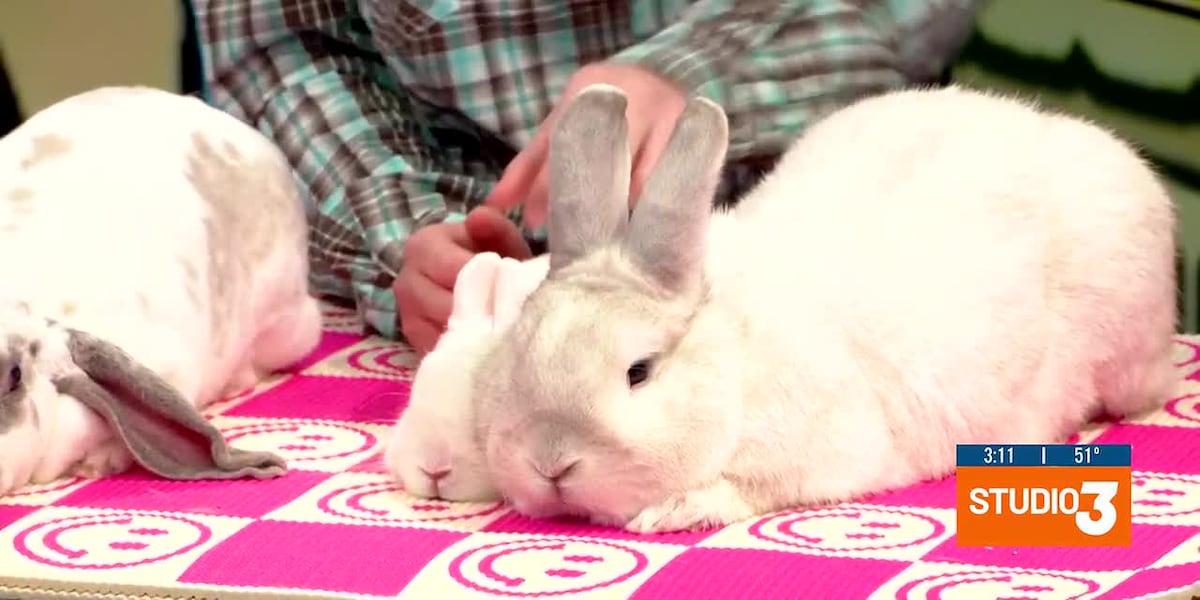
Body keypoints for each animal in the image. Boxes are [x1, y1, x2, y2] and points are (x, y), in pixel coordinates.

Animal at [469, 83, 1177, 534]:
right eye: (519, 352)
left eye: (638, 373)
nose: (550, 463)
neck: (735, 359)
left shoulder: (819, 454)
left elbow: (745, 489)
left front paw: (675, 510)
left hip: (1127, 350)